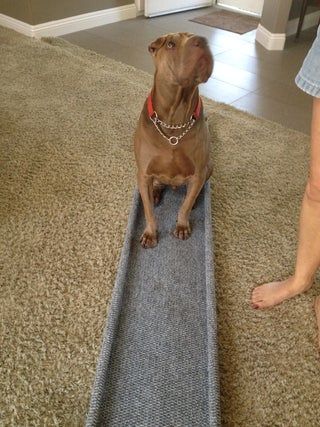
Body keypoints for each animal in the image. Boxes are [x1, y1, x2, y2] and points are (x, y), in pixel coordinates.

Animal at [134, 31, 214, 249]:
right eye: (170, 44)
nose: (202, 40)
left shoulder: (197, 173)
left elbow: (184, 206)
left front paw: (182, 225)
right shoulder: (143, 174)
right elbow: (148, 211)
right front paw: (150, 234)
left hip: (209, 167)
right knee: (157, 186)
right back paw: (156, 192)